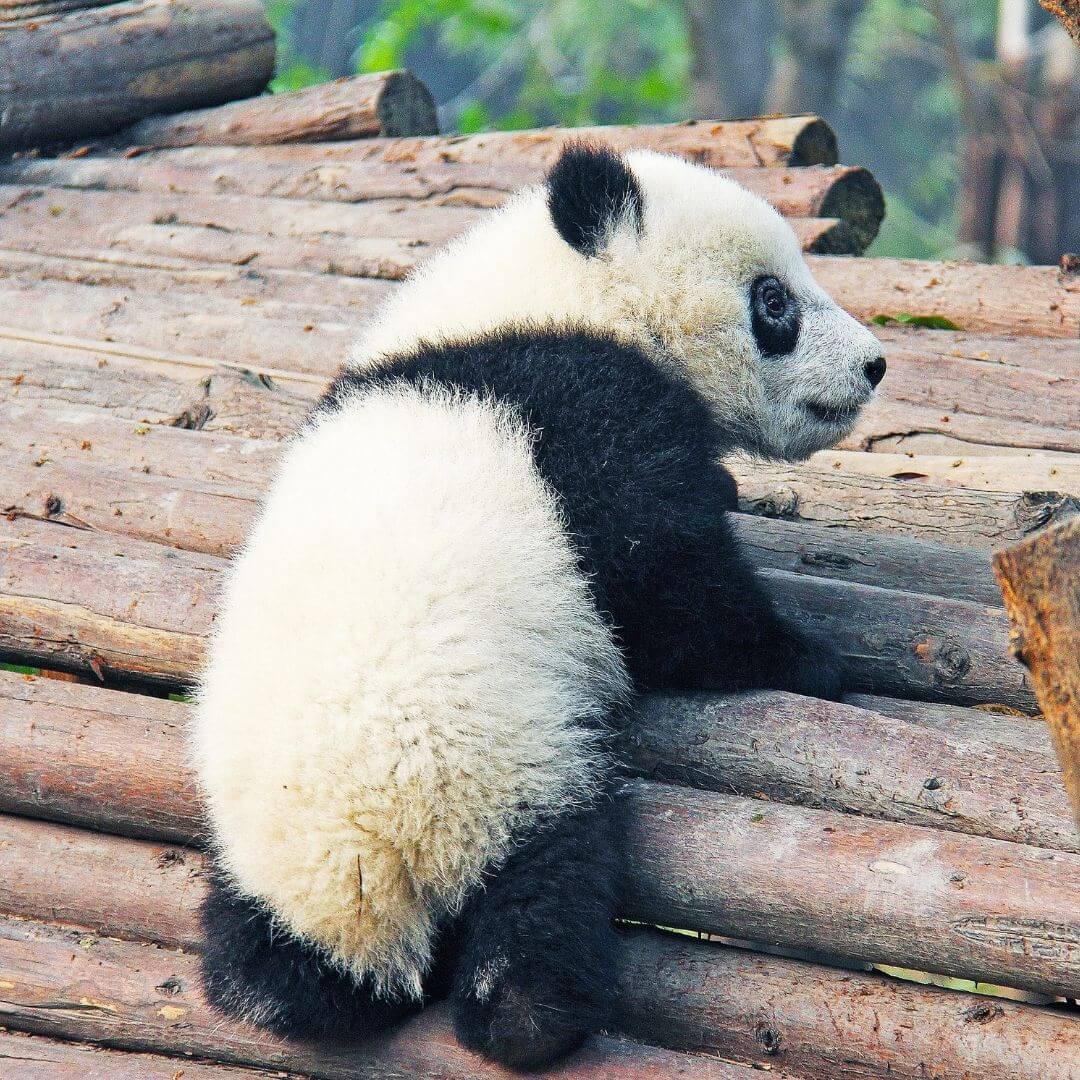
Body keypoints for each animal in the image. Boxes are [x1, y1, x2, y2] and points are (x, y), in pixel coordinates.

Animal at [192, 143, 885, 1070]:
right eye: (773, 301)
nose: (874, 365)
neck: (548, 297)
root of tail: (364, 863)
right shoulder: (585, 412)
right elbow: (668, 587)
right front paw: (809, 657)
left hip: (261, 849)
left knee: (265, 958)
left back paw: (273, 986)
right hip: (509, 767)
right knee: (546, 889)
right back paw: (531, 1017)